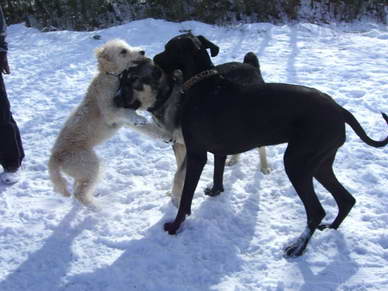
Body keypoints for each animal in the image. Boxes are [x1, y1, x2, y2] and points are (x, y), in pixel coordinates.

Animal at [47, 39, 147, 208]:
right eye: (123, 51)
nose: (142, 51)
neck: (110, 77)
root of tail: (55, 157)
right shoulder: (110, 111)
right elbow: (125, 112)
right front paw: (139, 119)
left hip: (82, 171)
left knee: (78, 189)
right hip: (89, 165)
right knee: (80, 193)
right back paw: (98, 207)